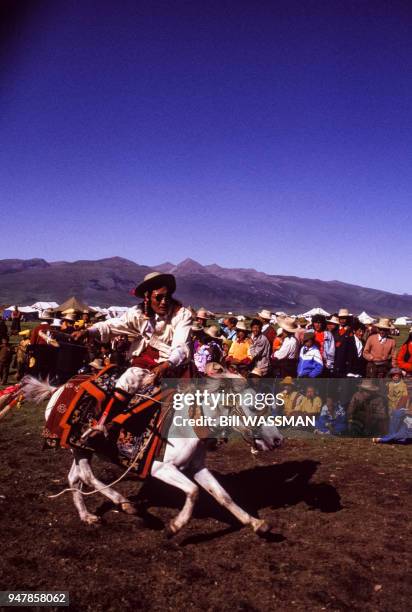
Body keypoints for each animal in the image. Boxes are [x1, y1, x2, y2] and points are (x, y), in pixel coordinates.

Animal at [22, 372, 284, 536]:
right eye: (255, 406)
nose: (277, 440)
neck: (188, 424)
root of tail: (58, 390)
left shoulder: (197, 468)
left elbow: (223, 496)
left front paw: (256, 523)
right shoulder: (161, 468)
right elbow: (193, 491)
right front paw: (175, 526)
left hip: (82, 449)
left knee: (74, 478)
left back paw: (87, 516)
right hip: (81, 447)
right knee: (86, 476)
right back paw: (125, 504)